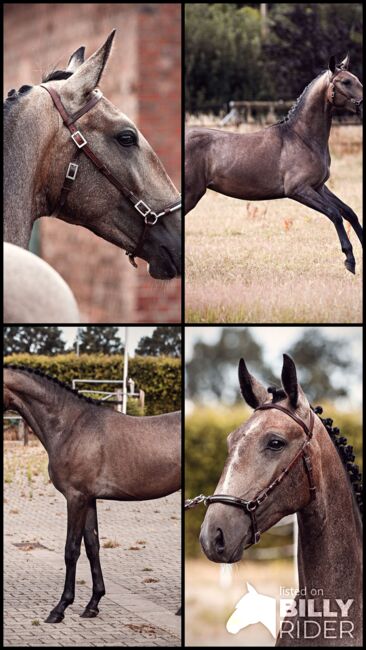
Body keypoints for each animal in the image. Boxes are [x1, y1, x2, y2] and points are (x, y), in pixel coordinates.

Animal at [2, 368, 180, 620]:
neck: (69, 426)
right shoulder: (89, 499)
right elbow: (92, 547)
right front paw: (93, 604)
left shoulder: (75, 498)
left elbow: (71, 549)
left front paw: (60, 608)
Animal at [186, 52, 364, 270]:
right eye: (346, 81)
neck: (303, 138)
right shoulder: (298, 190)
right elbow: (335, 214)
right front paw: (349, 259)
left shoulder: (319, 187)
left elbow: (349, 212)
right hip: (191, 194)